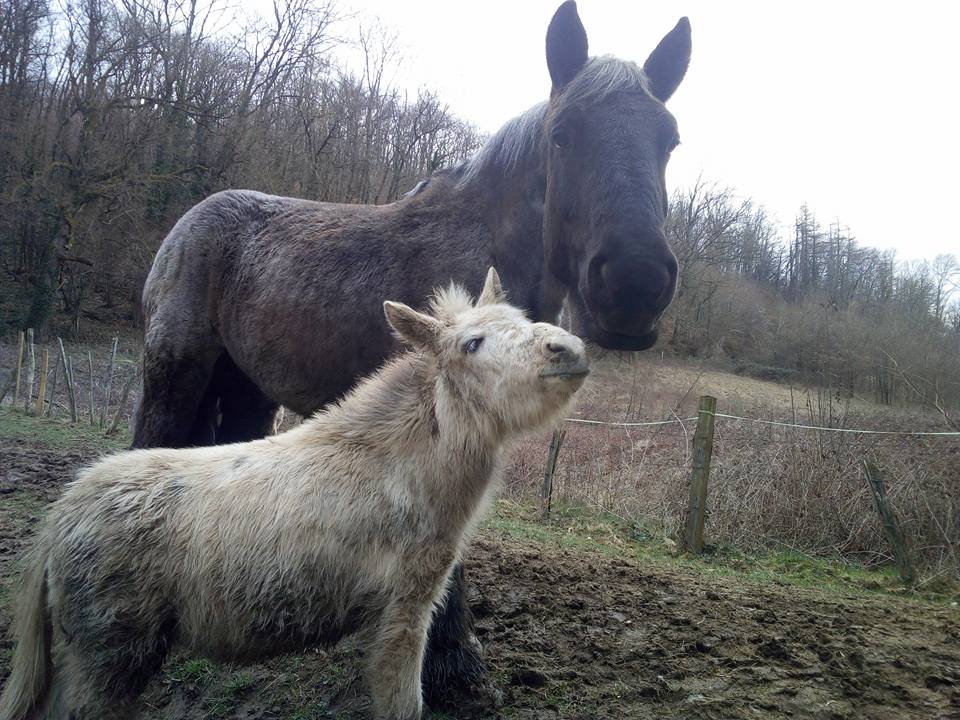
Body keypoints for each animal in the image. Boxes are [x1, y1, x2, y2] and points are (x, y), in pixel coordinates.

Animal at [0, 268, 588, 720]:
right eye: (472, 343)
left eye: (521, 319)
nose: (569, 348)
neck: (409, 471)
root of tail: (56, 523)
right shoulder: (404, 608)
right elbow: (402, 702)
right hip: (111, 657)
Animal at [133, 1, 688, 704]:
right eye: (564, 136)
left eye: (668, 140)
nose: (636, 285)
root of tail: (189, 221)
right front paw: (456, 668)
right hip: (176, 372)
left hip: (246, 390)